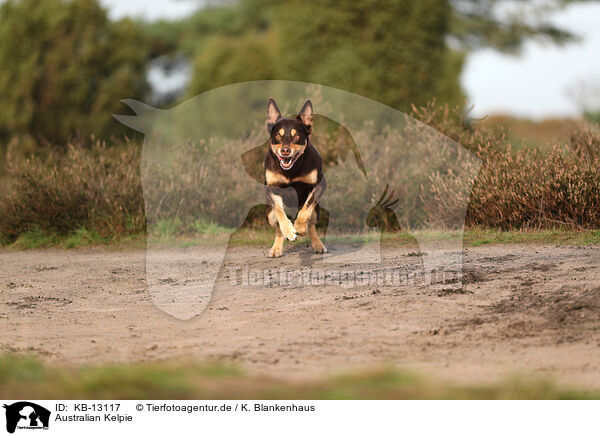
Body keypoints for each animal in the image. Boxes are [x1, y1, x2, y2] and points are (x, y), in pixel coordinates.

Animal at [264, 97, 326, 258]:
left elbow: (306, 208)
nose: (285, 150)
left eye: (297, 136)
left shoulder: (319, 185)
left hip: (317, 211)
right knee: (277, 228)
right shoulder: (271, 189)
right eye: (278, 136)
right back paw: (277, 248)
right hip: (269, 215)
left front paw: (300, 227)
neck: (291, 171)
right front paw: (289, 231)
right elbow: (279, 211)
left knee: (312, 225)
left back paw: (317, 244)